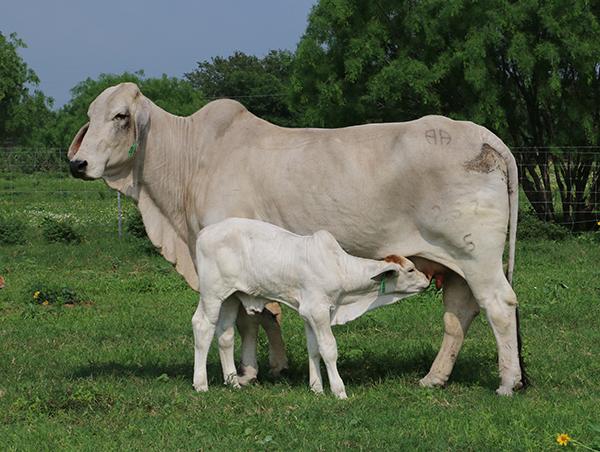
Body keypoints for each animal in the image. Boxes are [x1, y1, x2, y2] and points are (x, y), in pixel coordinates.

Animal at [68, 83, 524, 394]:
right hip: (455, 263)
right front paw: (266, 368)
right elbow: (259, 316)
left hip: (477, 256)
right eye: (91, 114)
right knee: (459, 315)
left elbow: (251, 317)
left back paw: (507, 382)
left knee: (499, 307)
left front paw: (252, 372)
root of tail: (485, 136)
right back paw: (434, 378)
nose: (78, 163)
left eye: (121, 116)